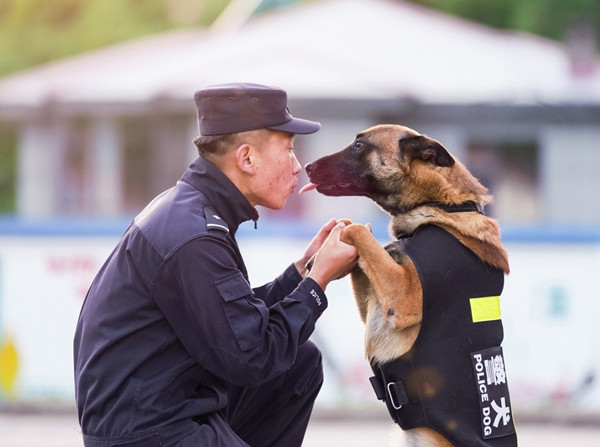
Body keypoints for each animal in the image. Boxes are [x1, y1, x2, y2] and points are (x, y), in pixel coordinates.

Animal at [302, 125, 516, 447]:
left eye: (359, 145)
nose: (306, 167)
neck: (444, 207)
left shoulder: (403, 298)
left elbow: (357, 229)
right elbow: (355, 232)